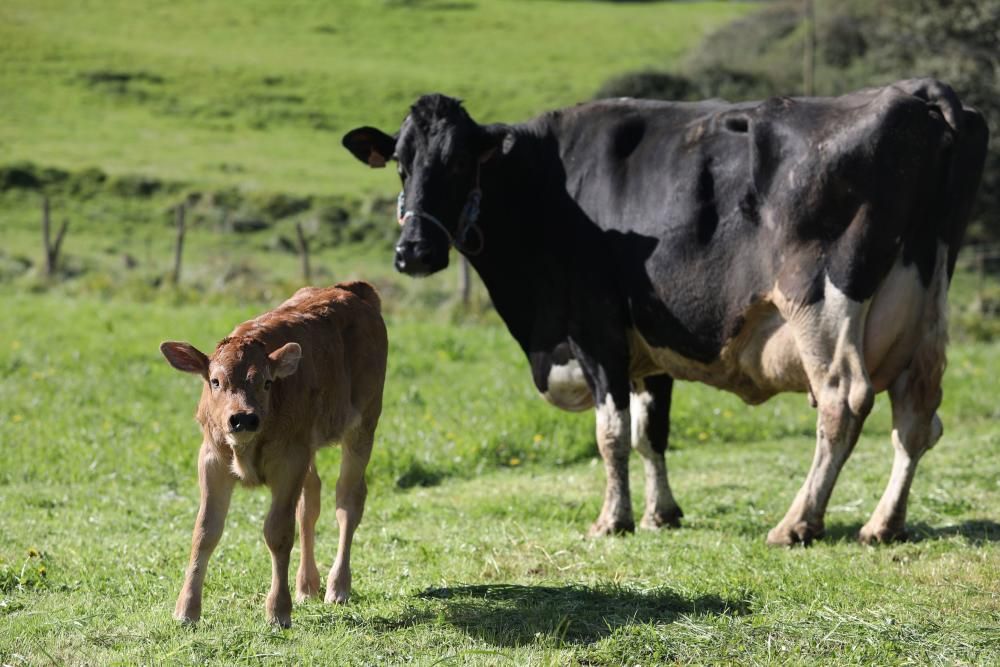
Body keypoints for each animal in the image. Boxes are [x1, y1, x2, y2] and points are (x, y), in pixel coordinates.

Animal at [160, 282, 386, 628]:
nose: (243, 418)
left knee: (348, 501)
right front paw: (187, 609)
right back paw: (307, 585)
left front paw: (278, 610)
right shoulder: (212, 459)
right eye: (216, 381)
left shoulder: (289, 461)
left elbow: (278, 532)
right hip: (310, 447)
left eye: (267, 382)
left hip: (364, 424)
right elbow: (205, 532)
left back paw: (338, 586)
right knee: (310, 502)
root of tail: (350, 289)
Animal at [342, 79, 984, 548]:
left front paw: (613, 520)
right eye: (400, 164)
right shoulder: (647, 342)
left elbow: (611, 433)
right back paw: (883, 524)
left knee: (844, 400)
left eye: (457, 165)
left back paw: (797, 523)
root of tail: (915, 93)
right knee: (917, 414)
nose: (413, 252)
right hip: (927, 305)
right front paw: (661, 514)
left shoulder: (596, 327)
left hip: (822, 299)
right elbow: (651, 431)